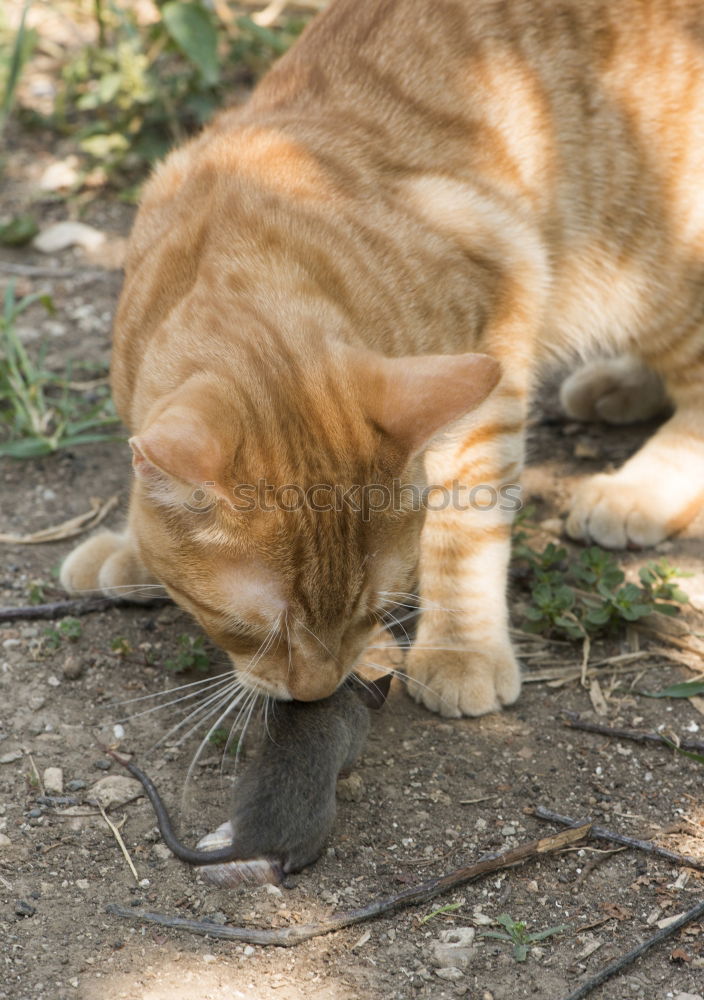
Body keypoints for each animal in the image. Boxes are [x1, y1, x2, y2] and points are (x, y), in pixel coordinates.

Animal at [62, 1, 704, 720]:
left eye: (369, 608)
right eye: (257, 628)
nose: (317, 691)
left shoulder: (501, 311)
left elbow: (464, 525)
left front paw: (460, 649)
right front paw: (134, 550)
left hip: (651, 273)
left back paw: (635, 490)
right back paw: (619, 386)